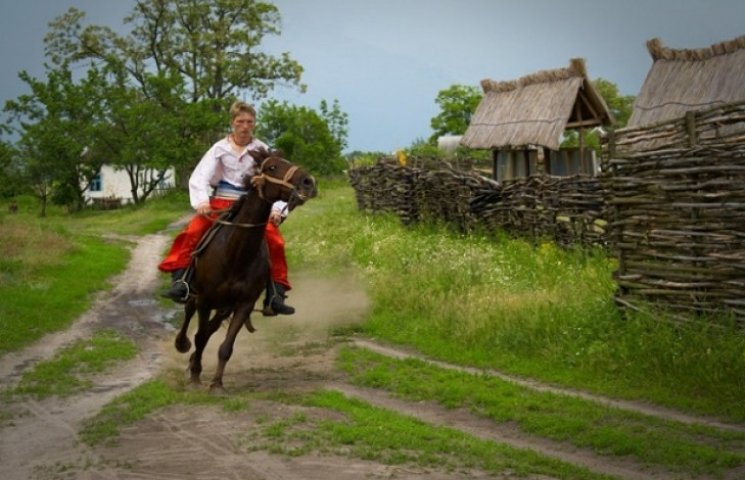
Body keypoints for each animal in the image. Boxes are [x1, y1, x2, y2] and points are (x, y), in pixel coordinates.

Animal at [174, 150, 314, 390]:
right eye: (272, 167)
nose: (308, 182)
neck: (235, 254)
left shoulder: (243, 304)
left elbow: (225, 347)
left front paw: (216, 384)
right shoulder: (205, 300)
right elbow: (200, 336)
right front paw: (195, 376)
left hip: (224, 306)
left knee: (211, 328)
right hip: (197, 295)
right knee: (190, 312)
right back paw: (182, 344)